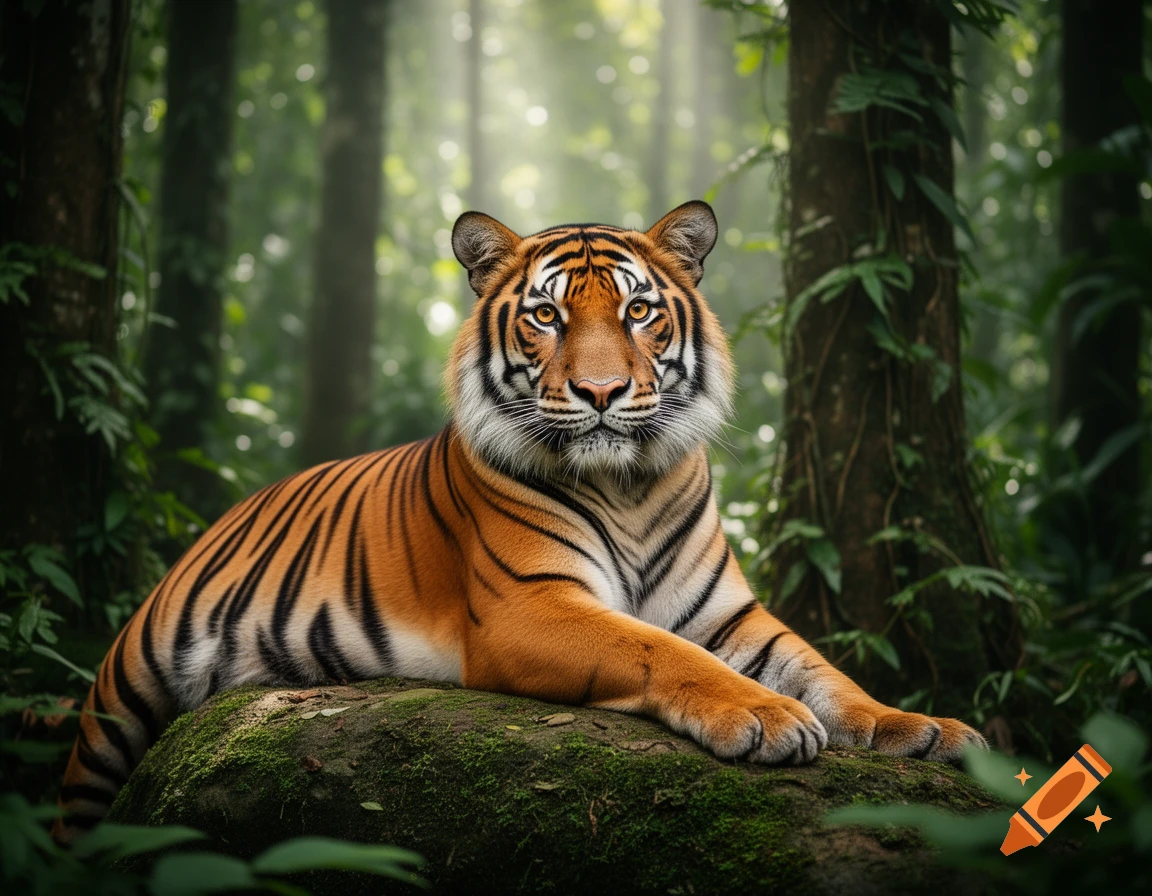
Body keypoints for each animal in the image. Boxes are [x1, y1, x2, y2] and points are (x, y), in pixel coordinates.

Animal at [55, 200, 987, 844]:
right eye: (546, 315)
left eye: (639, 311)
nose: (602, 392)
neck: (629, 484)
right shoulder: (529, 605)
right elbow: (661, 650)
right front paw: (764, 716)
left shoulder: (731, 614)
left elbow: (824, 670)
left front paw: (923, 728)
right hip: (119, 696)